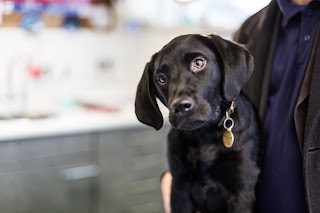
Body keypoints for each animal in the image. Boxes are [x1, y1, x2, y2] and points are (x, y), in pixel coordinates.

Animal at [134, 34, 262, 213]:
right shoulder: (179, 188)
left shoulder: (242, 190)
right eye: (161, 79)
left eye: (199, 63)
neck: (204, 134)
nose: (180, 106)